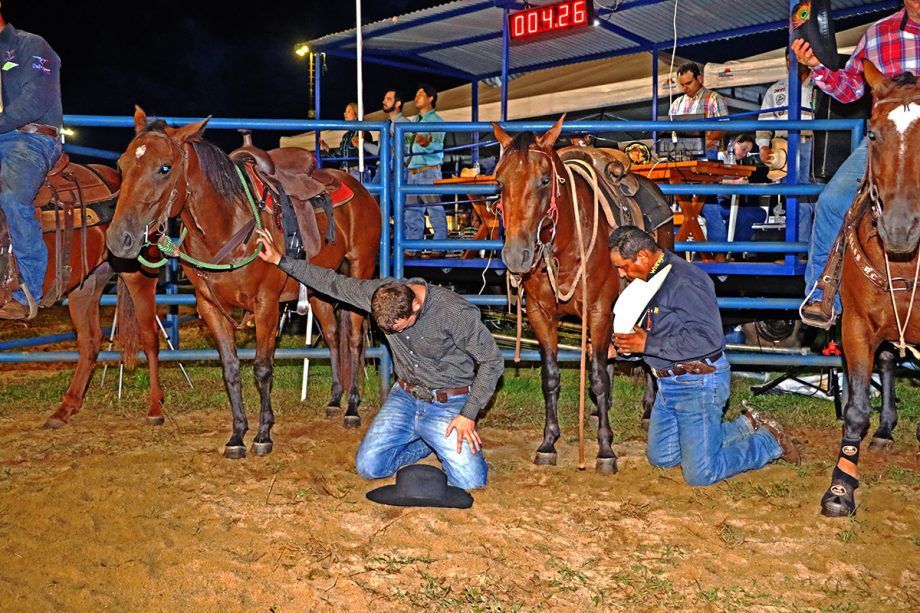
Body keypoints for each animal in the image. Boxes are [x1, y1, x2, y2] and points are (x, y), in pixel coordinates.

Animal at [105, 107, 380, 456]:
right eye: (121, 165)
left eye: (164, 168)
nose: (119, 239)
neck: (227, 224)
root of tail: (356, 187)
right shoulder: (210, 308)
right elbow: (231, 369)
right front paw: (237, 435)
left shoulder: (266, 306)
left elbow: (262, 368)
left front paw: (263, 434)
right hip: (320, 289)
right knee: (332, 336)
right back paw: (334, 400)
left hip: (359, 270)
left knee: (355, 339)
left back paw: (352, 407)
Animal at [492, 117, 672, 470]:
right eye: (500, 182)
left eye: (545, 180)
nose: (516, 255)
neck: (565, 245)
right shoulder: (541, 314)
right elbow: (551, 377)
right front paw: (548, 442)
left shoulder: (599, 310)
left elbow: (598, 377)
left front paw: (605, 449)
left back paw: (648, 409)